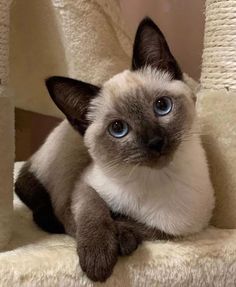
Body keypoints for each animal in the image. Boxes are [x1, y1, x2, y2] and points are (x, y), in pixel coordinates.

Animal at [14, 18, 214, 284]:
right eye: (118, 129)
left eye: (162, 106)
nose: (155, 142)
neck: (156, 178)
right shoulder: (81, 187)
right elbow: (93, 212)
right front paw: (98, 258)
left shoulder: (180, 230)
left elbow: (143, 227)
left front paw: (123, 234)